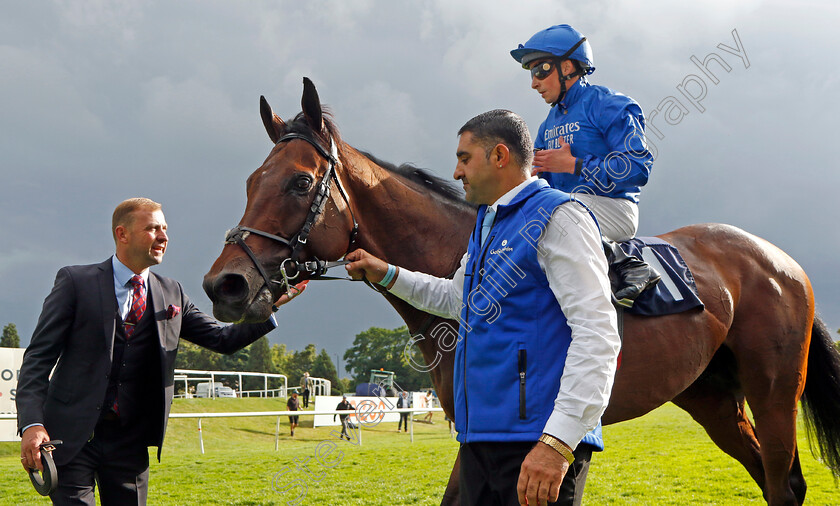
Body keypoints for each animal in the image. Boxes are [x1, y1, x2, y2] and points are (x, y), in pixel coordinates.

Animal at [202, 77, 840, 504]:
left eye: (299, 181)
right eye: (252, 181)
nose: (223, 283)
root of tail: (781, 260)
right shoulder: (474, 435)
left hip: (774, 393)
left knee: (785, 483)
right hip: (711, 398)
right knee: (772, 480)